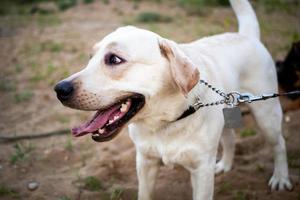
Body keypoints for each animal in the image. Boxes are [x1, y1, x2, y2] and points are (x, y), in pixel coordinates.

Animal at [55, 0, 292, 199]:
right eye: (90, 58)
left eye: (114, 59)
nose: (59, 89)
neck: (165, 122)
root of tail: (246, 35)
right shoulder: (145, 163)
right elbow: (144, 194)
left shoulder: (201, 171)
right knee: (230, 137)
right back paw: (225, 164)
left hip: (267, 113)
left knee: (279, 143)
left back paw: (281, 178)